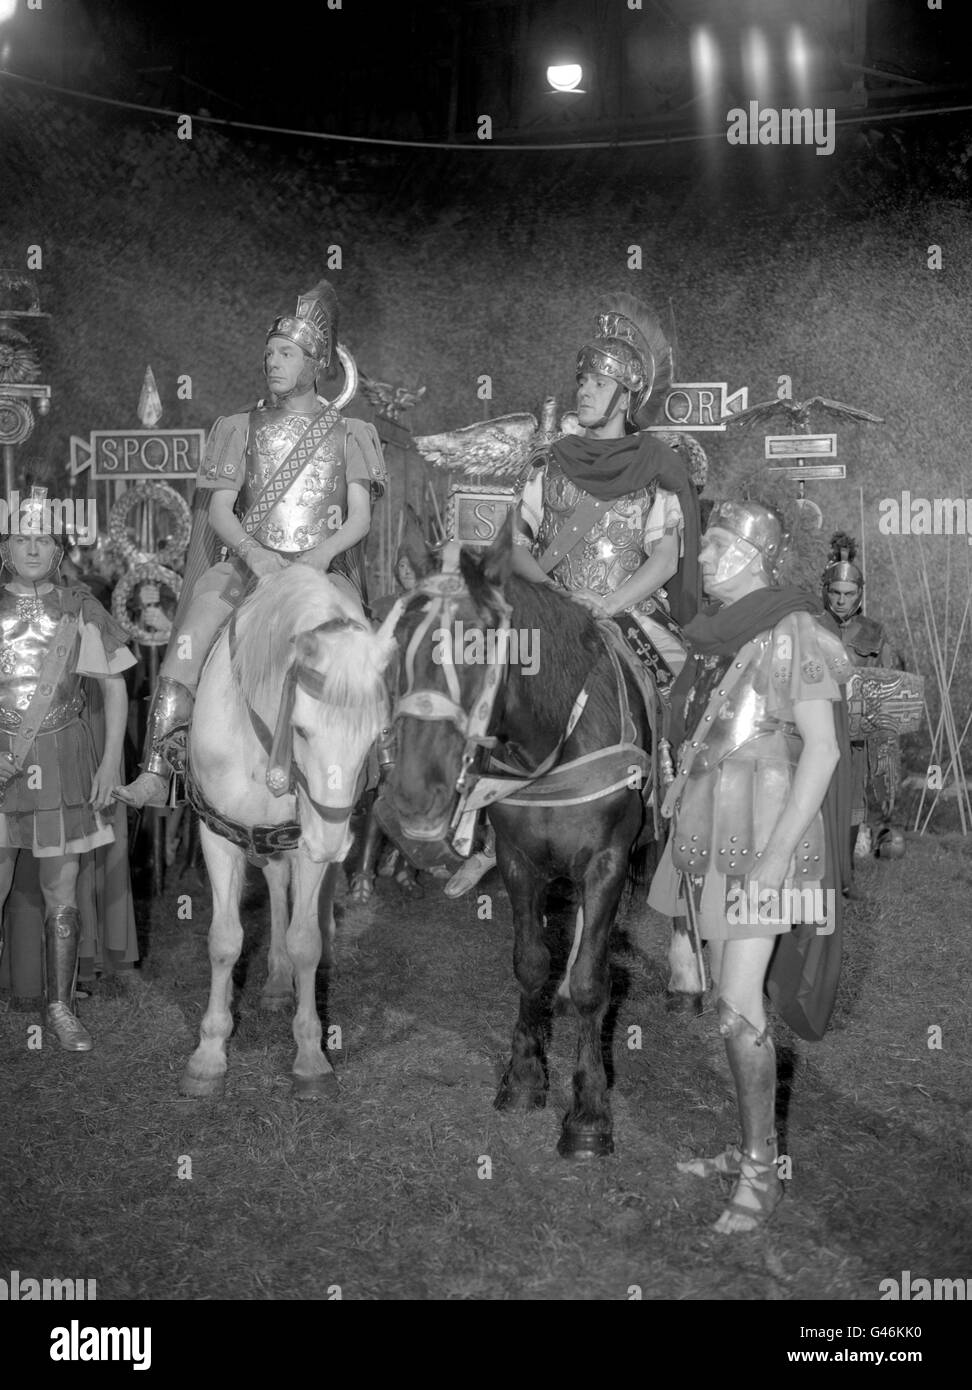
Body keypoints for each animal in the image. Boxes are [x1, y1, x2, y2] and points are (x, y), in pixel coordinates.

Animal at [180, 561, 397, 1095]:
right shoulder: (218, 834)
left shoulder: (301, 839)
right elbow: (225, 941)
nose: (332, 845)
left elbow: (306, 942)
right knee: (276, 885)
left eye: (376, 735)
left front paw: (311, 1054)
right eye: (301, 730)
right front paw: (209, 1053)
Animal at [375, 525, 659, 1156]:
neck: (557, 740)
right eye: (400, 638)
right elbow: (530, 963)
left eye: (479, 642)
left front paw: (589, 1112)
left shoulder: (606, 863)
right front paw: (526, 1077)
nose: (411, 795)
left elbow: (592, 981)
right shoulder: (518, 861)